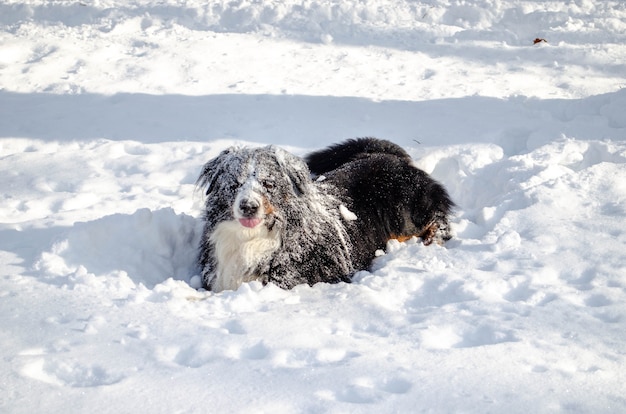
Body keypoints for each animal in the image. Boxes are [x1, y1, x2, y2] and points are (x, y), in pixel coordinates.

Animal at [197, 138, 450, 292]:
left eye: (268, 183)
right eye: (234, 185)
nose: (248, 206)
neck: (253, 237)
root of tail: (387, 154)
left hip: (404, 215)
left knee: (438, 221)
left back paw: (431, 240)